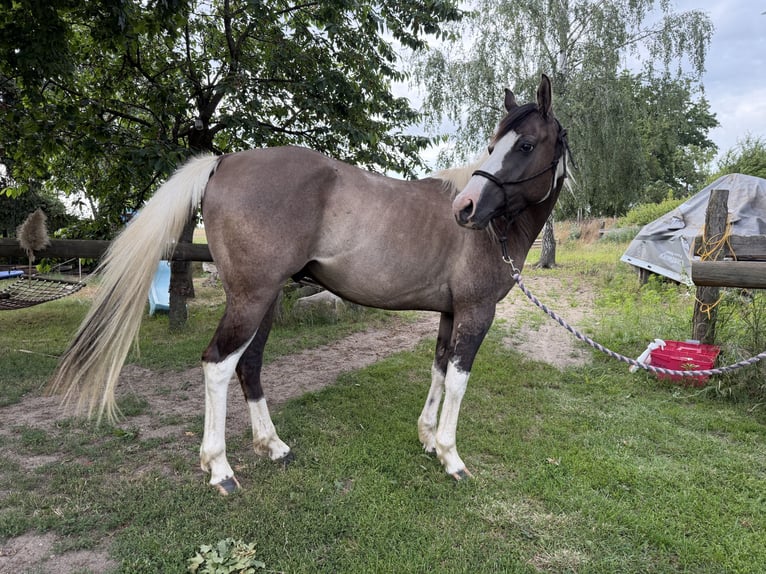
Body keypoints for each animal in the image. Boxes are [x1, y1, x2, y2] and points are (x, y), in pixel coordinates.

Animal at [50, 74, 570, 494]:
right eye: (495, 145)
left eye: (525, 145)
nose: (464, 208)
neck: (495, 228)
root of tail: (224, 161)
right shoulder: (477, 313)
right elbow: (458, 381)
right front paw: (450, 456)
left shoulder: (450, 313)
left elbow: (439, 371)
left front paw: (426, 438)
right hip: (251, 298)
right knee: (218, 364)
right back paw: (220, 469)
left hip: (261, 300)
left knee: (249, 364)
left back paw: (272, 445)